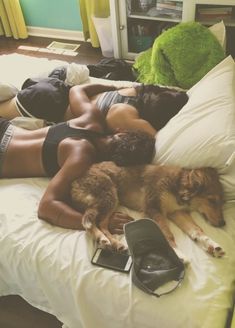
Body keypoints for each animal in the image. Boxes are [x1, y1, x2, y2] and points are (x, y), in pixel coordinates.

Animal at [70, 161, 225, 258]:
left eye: (222, 202)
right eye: (212, 200)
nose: (223, 223)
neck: (178, 185)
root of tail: (74, 183)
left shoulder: (177, 212)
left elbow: (197, 230)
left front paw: (212, 245)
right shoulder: (153, 208)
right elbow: (167, 233)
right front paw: (178, 254)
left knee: (100, 224)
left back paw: (115, 243)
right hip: (109, 196)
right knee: (91, 223)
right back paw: (104, 239)